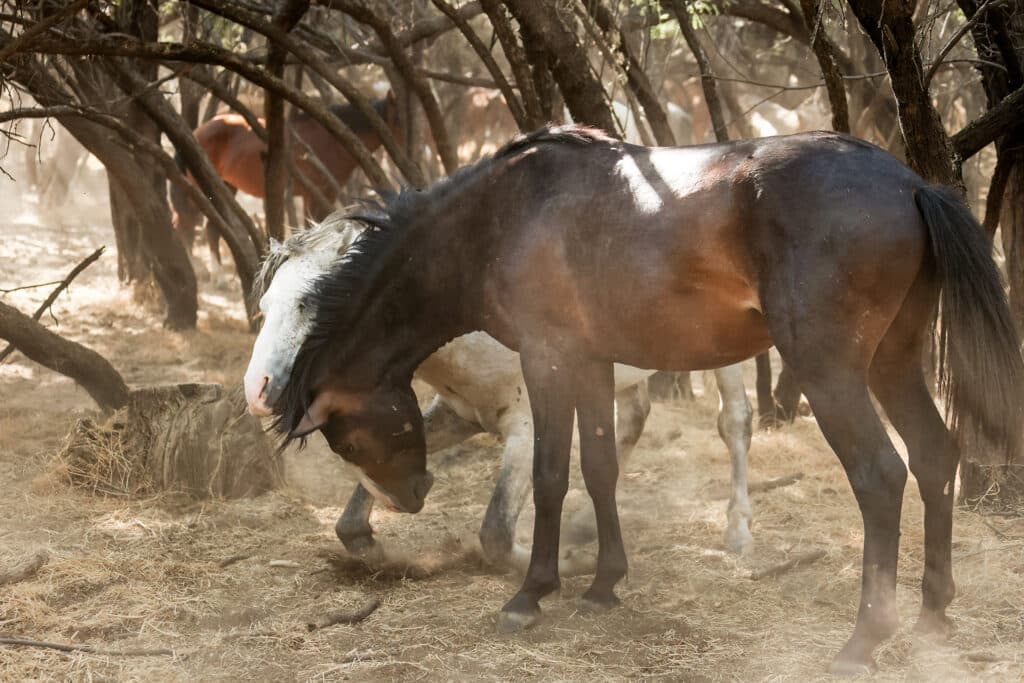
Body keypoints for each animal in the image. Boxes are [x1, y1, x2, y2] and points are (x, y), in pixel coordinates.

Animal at [172, 93, 399, 270]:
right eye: (397, 119)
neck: (330, 140)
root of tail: (197, 132)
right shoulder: (312, 196)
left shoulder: (326, 194)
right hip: (202, 186)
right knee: (187, 225)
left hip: (226, 185)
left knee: (209, 228)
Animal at [243, 216, 757, 569]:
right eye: (266, 305)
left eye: (314, 302)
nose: (256, 390)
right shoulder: (459, 413)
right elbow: (352, 519)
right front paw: (371, 545)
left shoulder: (527, 426)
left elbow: (496, 532)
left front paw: (566, 564)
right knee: (631, 420)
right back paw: (588, 523)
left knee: (734, 421)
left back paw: (738, 532)